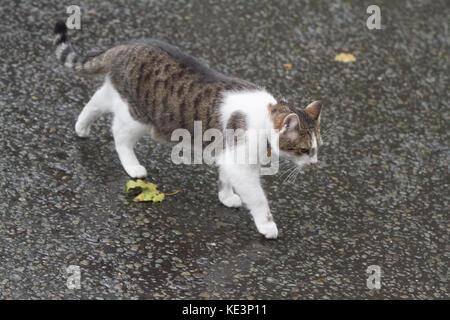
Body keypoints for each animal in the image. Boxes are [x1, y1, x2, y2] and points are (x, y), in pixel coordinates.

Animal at [52, 20, 322, 238]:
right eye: (305, 150)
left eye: (317, 148)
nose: (314, 164)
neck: (264, 118)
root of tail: (127, 46)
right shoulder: (240, 163)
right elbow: (258, 199)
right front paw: (267, 225)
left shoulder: (228, 155)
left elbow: (225, 177)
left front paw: (226, 197)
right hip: (138, 118)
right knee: (119, 134)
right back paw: (132, 166)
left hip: (120, 96)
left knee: (95, 101)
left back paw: (81, 127)